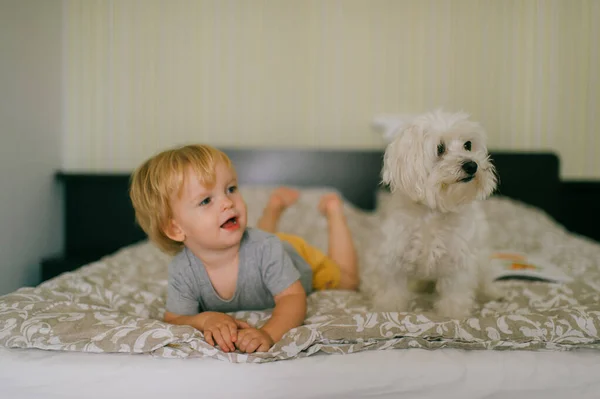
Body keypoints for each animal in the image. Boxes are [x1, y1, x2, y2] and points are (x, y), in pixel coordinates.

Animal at [370, 108, 502, 318]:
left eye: (468, 145)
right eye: (440, 149)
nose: (472, 165)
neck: (433, 212)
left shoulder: (459, 259)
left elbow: (455, 293)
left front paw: (453, 314)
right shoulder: (393, 257)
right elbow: (391, 290)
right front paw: (388, 309)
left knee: (485, 275)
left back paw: (491, 291)